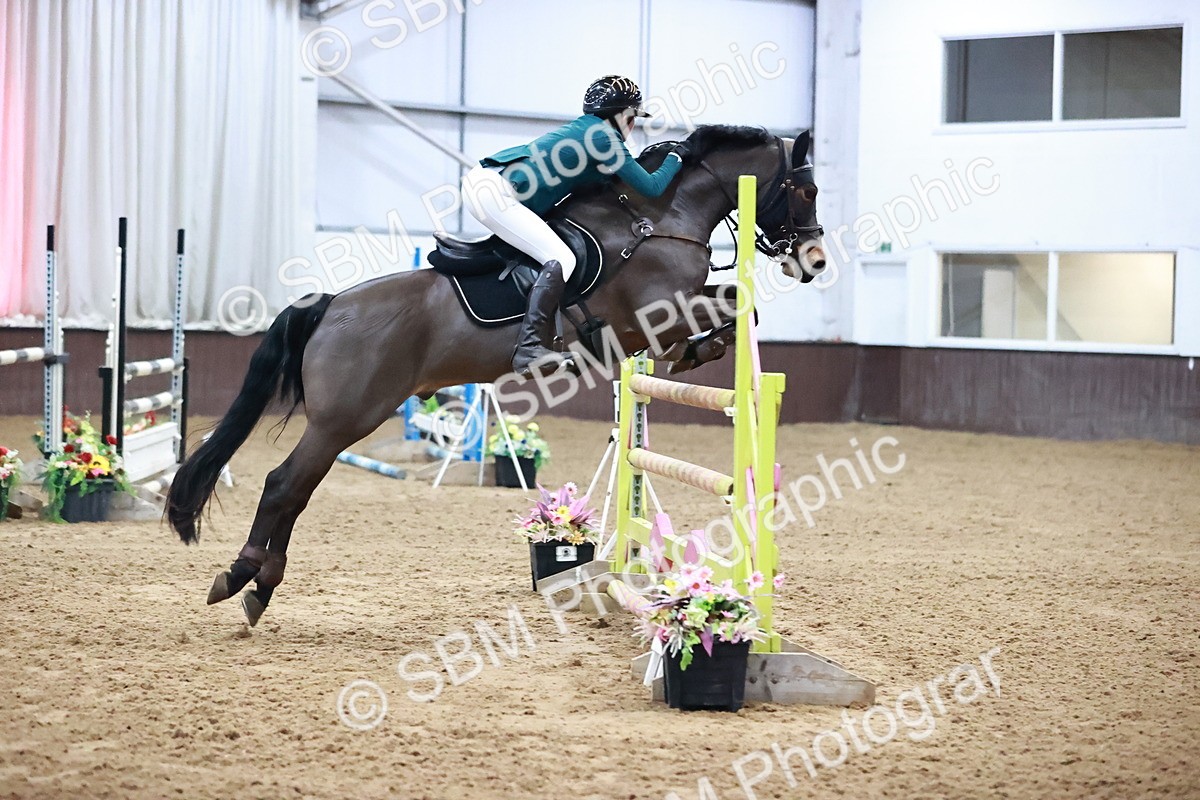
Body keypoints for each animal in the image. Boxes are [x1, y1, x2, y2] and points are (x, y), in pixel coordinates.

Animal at [167, 124, 827, 626]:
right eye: (806, 190)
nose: (814, 260)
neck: (657, 219)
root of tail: (329, 304)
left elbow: (736, 309)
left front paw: (702, 350)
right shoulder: (655, 316)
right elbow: (734, 308)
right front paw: (698, 350)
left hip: (344, 421)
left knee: (293, 491)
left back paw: (257, 586)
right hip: (345, 420)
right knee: (285, 486)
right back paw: (243, 579)